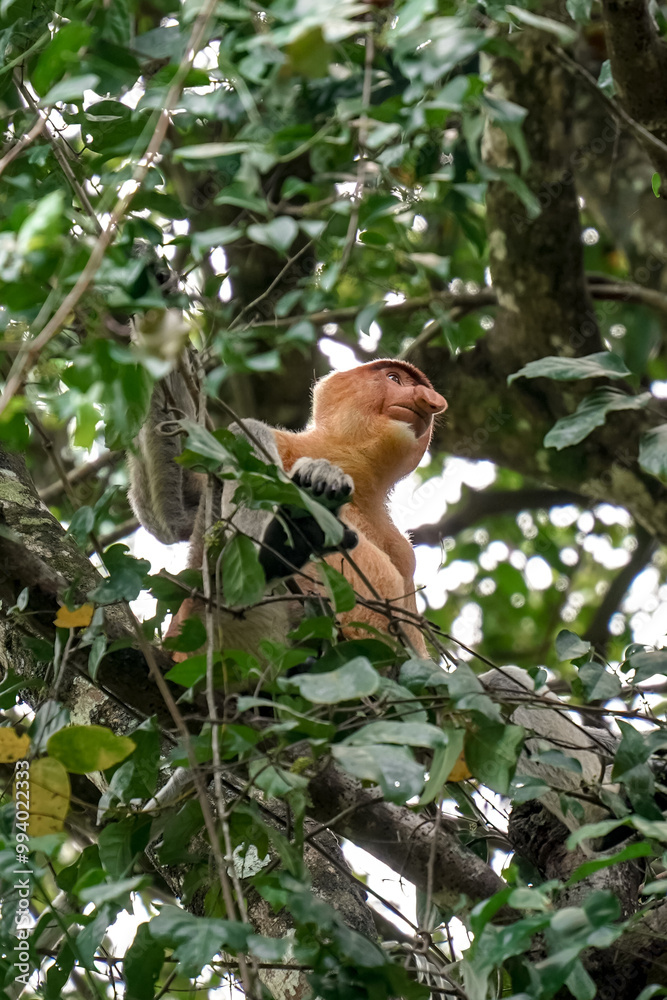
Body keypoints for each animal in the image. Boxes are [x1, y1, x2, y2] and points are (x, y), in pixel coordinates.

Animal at [128, 351, 447, 661]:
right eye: (394, 378)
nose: (430, 400)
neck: (354, 471)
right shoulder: (273, 442)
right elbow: (174, 519)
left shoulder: (404, 553)